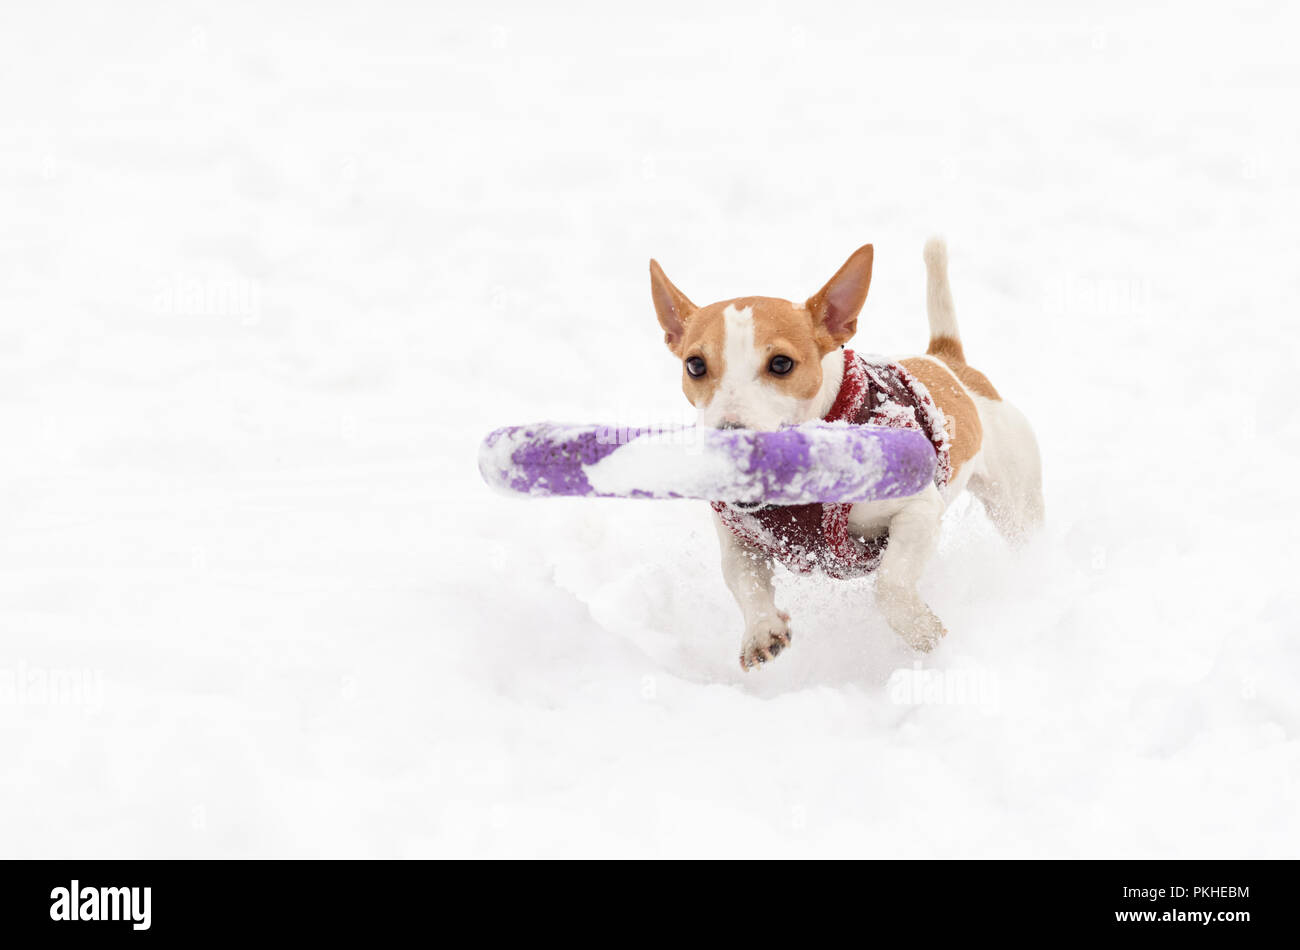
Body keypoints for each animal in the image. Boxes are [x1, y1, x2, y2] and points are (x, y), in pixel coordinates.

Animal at [650, 239, 1045, 670]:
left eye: (781, 363)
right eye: (695, 365)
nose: (729, 440)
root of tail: (947, 360)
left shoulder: (918, 511)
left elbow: (890, 584)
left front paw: (921, 630)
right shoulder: (740, 534)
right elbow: (742, 578)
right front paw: (762, 630)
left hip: (1014, 500)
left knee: (1024, 531)